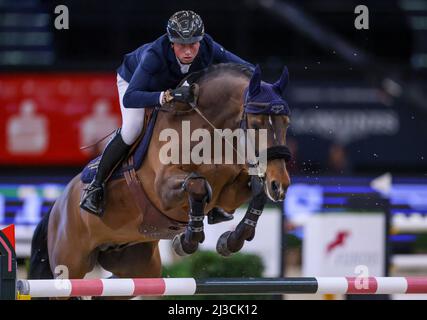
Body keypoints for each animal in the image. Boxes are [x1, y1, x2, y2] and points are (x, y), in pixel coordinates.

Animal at [28, 63, 292, 292]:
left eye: (286, 123)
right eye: (256, 124)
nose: (280, 185)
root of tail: (56, 207)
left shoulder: (228, 194)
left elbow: (257, 193)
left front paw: (231, 241)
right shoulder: (163, 188)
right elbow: (197, 185)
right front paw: (186, 242)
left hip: (138, 266)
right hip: (70, 263)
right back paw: (92, 197)